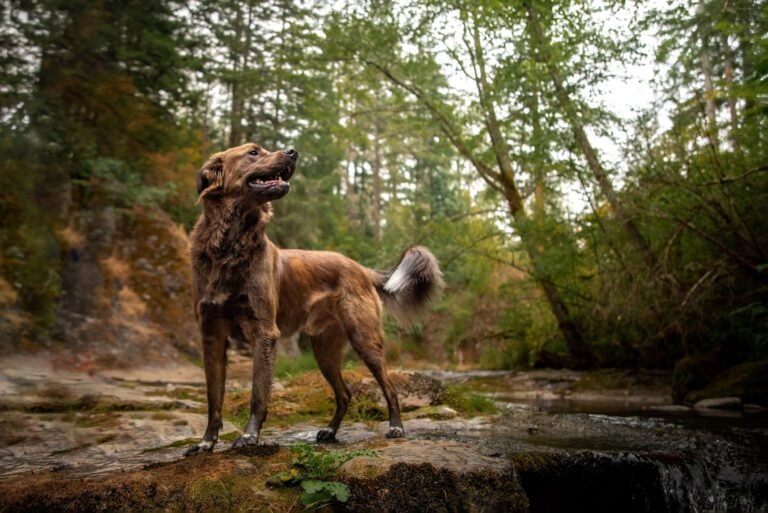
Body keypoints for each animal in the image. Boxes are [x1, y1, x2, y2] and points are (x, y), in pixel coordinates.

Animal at [185, 142, 444, 454]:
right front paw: (206, 442)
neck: (230, 246)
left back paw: (396, 427)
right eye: (253, 152)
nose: (292, 151)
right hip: (324, 350)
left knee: (389, 388)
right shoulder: (212, 335)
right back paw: (330, 431)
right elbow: (214, 398)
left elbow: (258, 393)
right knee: (345, 394)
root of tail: (359, 267)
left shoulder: (263, 332)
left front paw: (249, 437)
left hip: (364, 339)